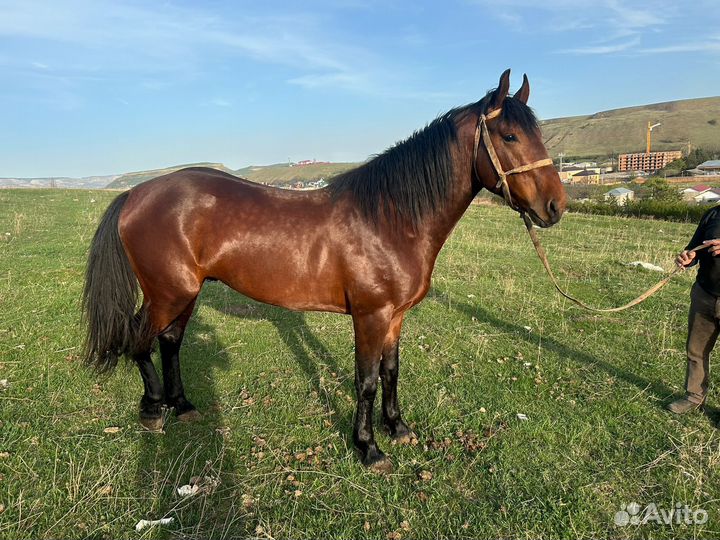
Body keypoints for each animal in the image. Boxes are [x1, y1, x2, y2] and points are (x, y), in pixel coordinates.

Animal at [82, 69, 566, 472]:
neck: (388, 218)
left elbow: (391, 371)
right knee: (139, 340)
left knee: (170, 341)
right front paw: (369, 448)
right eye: (509, 135)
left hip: (186, 293)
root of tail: (135, 193)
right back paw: (152, 410)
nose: (555, 207)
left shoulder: (396, 317)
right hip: (168, 292)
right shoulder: (370, 316)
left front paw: (398, 428)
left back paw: (182, 406)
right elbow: (366, 381)